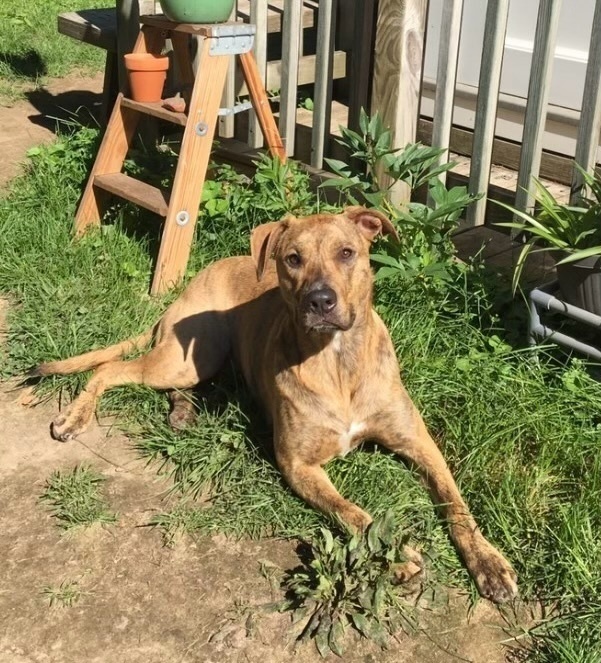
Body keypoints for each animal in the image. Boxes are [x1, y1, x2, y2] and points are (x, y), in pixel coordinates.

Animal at [36, 209, 516, 608]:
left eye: (347, 253)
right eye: (292, 259)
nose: (320, 301)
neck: (337, 361)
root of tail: (194, 281)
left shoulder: (418, 442)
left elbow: (456, 505)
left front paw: (489, 563)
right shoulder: (297, 463)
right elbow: (354, 513)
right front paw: (393, 555)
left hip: (196, 363)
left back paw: (182, 412)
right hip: (188, 356)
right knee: (109, 369)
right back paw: (76, 416)